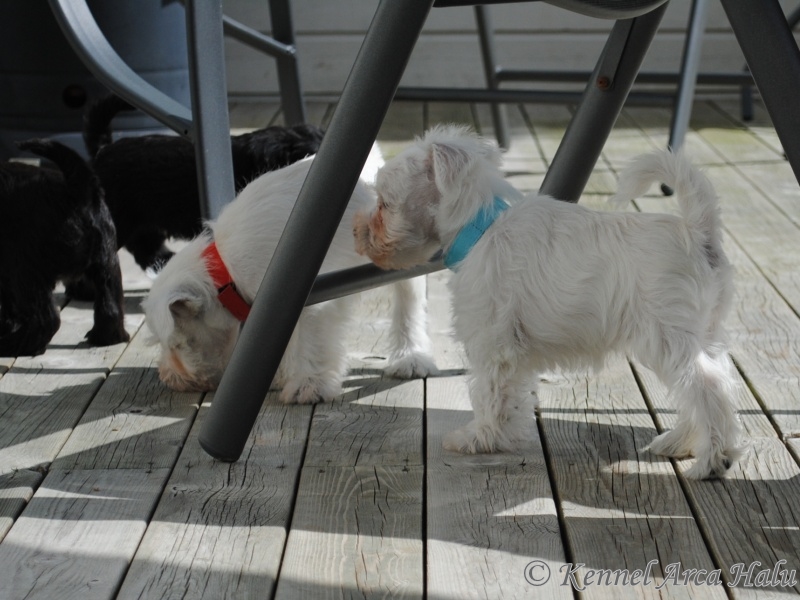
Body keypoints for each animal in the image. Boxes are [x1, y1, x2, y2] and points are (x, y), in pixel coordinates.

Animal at [0, 139, 129, 356]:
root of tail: (77, 191)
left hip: (24, 268)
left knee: (45, 319)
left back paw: (16, 345)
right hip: (106, 260)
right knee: (110, 306)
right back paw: (105, 337)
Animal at [143, 148, 436, 402]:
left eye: (175, 344)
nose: (168, 378)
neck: (224, 273)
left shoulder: (311, 300)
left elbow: (311, 339)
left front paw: (309, 385)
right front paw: (282, 375)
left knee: (408, 300)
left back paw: (410, 356)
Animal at [354, 125, 743, 479]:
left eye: (384, 204)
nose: (357, 233)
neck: (481, 227)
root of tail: (698, 231)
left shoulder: (492, 346)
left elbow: (487, 395)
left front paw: (478, 438)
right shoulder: (514, 353)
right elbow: (512, 397)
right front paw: (503, 436)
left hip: (666, 339)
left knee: (709, 388)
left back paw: (711, 462)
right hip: (703, 335)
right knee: (709, 385)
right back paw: (677, 443)